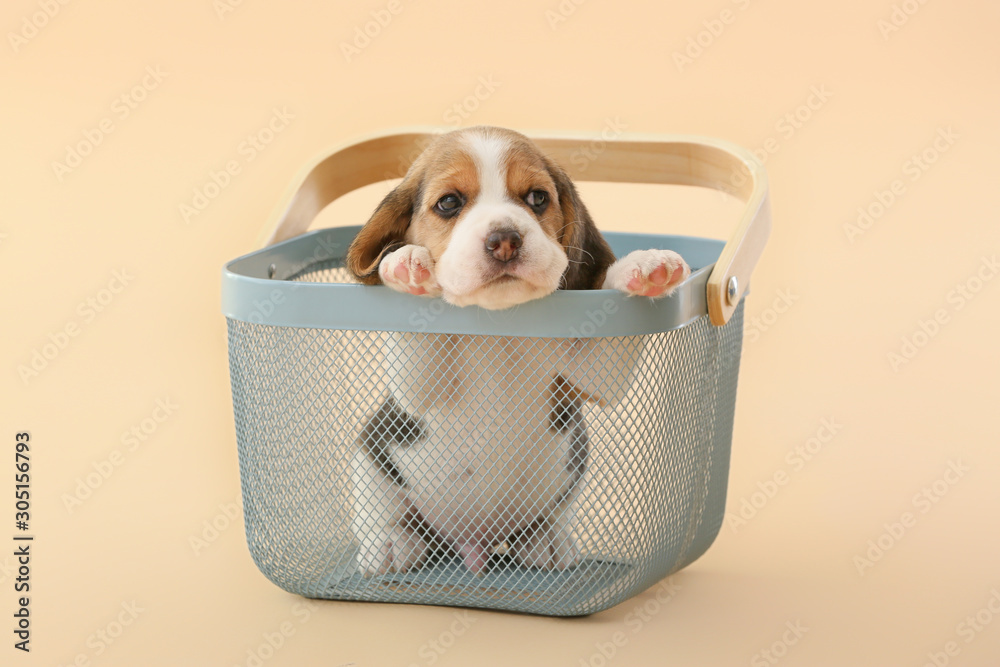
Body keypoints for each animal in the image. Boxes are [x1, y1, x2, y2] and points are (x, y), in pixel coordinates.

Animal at [344, 128, 688, 576]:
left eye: (537, 198)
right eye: (449, 202)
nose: (504, 240)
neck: (500, 321)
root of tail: (473, 545)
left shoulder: (588, 375)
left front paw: (643, 266)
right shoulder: (416, 392)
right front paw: (407, 264)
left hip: (570, 469)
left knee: (550, 518)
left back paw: (543, 538)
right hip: (372, 455)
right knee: (386, 514)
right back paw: (394, 542)